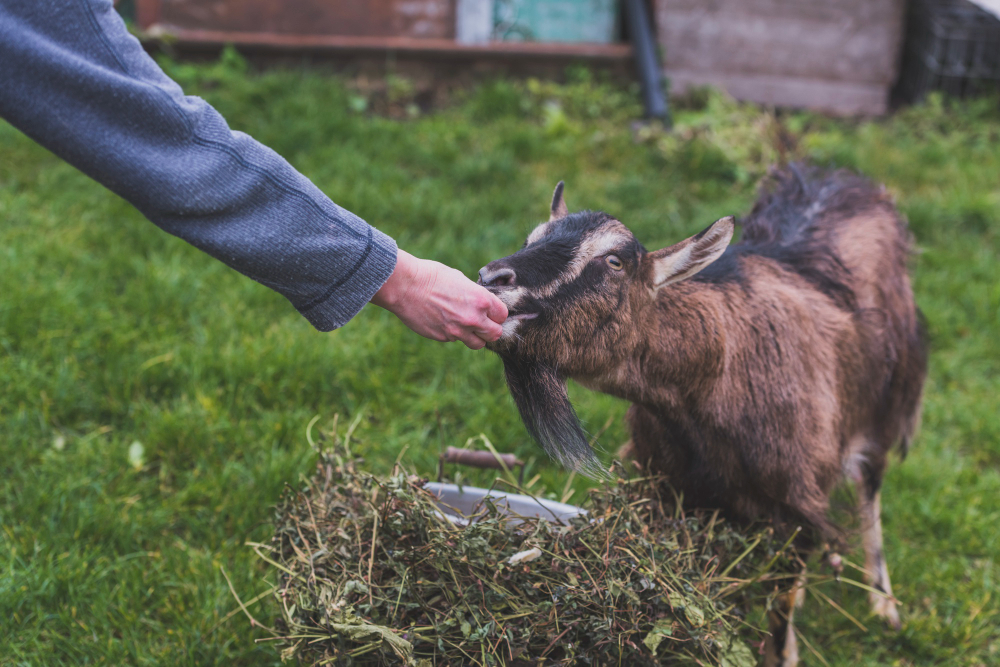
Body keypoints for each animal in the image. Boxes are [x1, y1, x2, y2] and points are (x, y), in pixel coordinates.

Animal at [480, 167, 924, 667]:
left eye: (614, 262)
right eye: (531, 237)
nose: (493, 277)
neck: (712, 385)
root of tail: (848, 179)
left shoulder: (797, 506)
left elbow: (782, 603)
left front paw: (786, 648)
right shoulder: (670, 487)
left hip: (888, 401)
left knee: (870, 485)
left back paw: (884, 604)